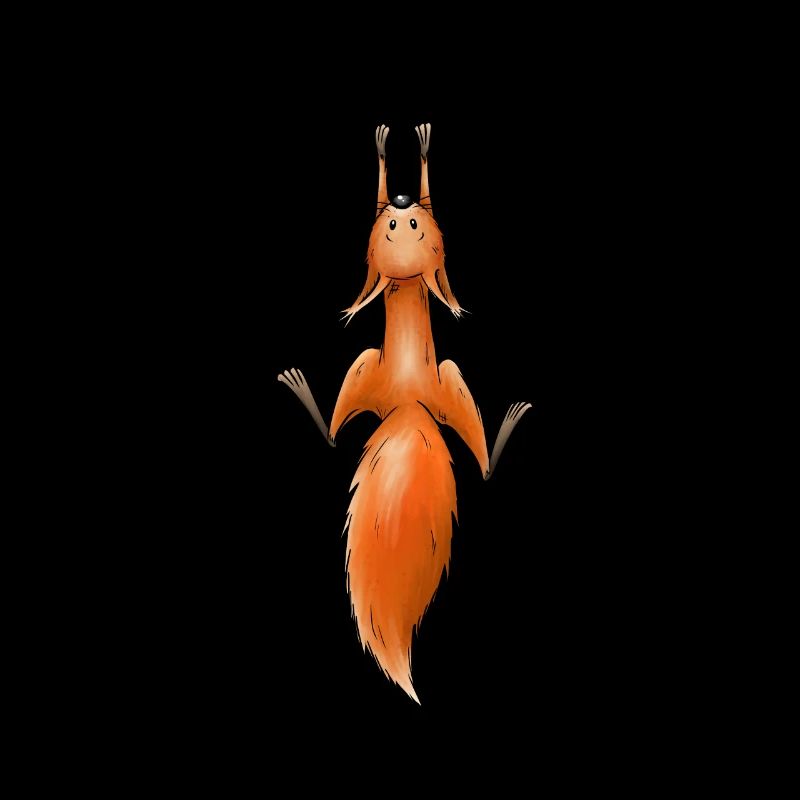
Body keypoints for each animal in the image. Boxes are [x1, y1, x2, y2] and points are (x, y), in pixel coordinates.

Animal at [278, 123, 531, 704]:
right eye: (394, 224)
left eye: (412, 222)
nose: (399, 203)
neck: (409, 279)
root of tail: (410, 402)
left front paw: (415, 149)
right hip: (387, 368)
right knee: (338, 436)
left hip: (428, 374)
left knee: (478, 464)